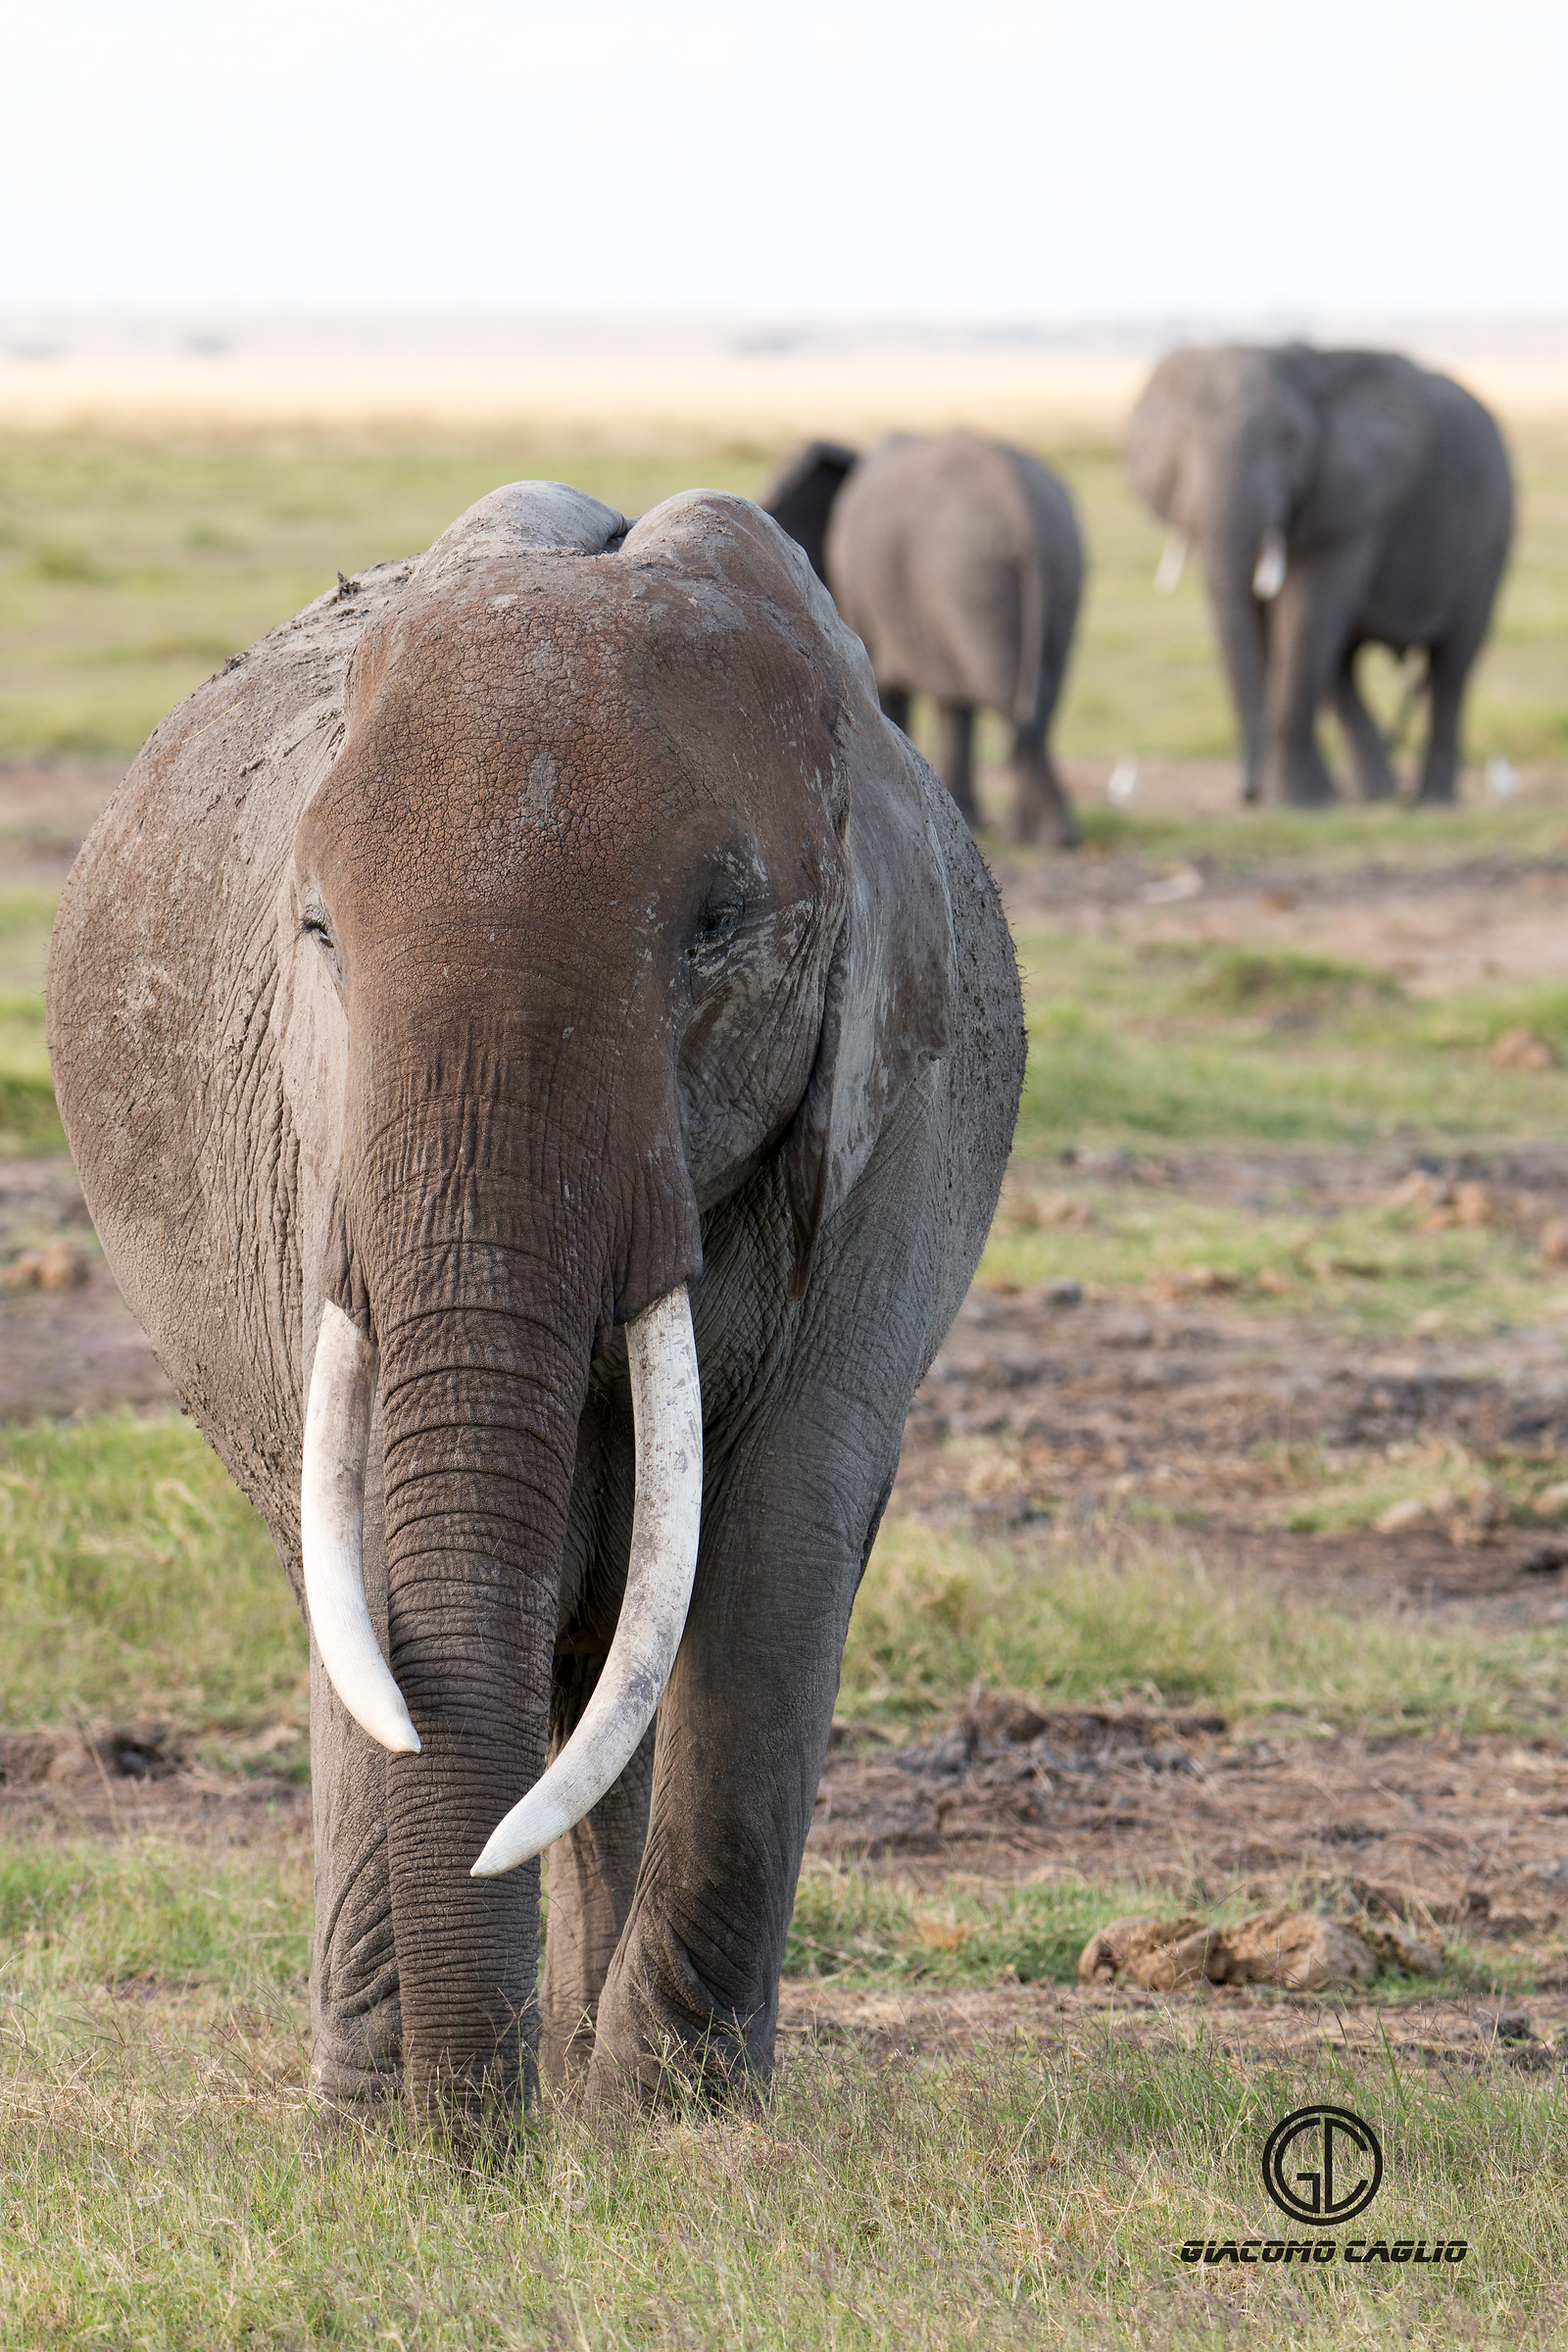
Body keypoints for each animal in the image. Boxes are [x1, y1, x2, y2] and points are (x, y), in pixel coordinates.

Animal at [46, 483, 1023, 2115]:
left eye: (717, 926)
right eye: (319, 933)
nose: (477, 2136)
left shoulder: (906, 1107)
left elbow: (780, 1535)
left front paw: (672, 2119)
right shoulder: (321, 1135)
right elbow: (371, 1548)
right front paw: (393, 2126)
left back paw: (579, 2065)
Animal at [761, 431, 1085, 846]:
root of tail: (1025, 519)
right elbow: (954, 703)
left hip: (966, 580)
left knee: (1012, 704)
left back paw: (1043, 838)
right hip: (1057, 578)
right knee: (1039, 704)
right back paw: (1043, 835)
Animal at [1125, 345, 1513, 807]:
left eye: (1289, 439)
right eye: (1182, 437)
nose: (1250, 793)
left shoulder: (1351, 500)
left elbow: (1305, 616)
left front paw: (1293, 803)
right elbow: (1274, 628)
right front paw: (1305, 801)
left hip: (1492, 540)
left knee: (1452, 665)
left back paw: (1430, 802)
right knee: (1340, 662)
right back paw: (1375, 793)